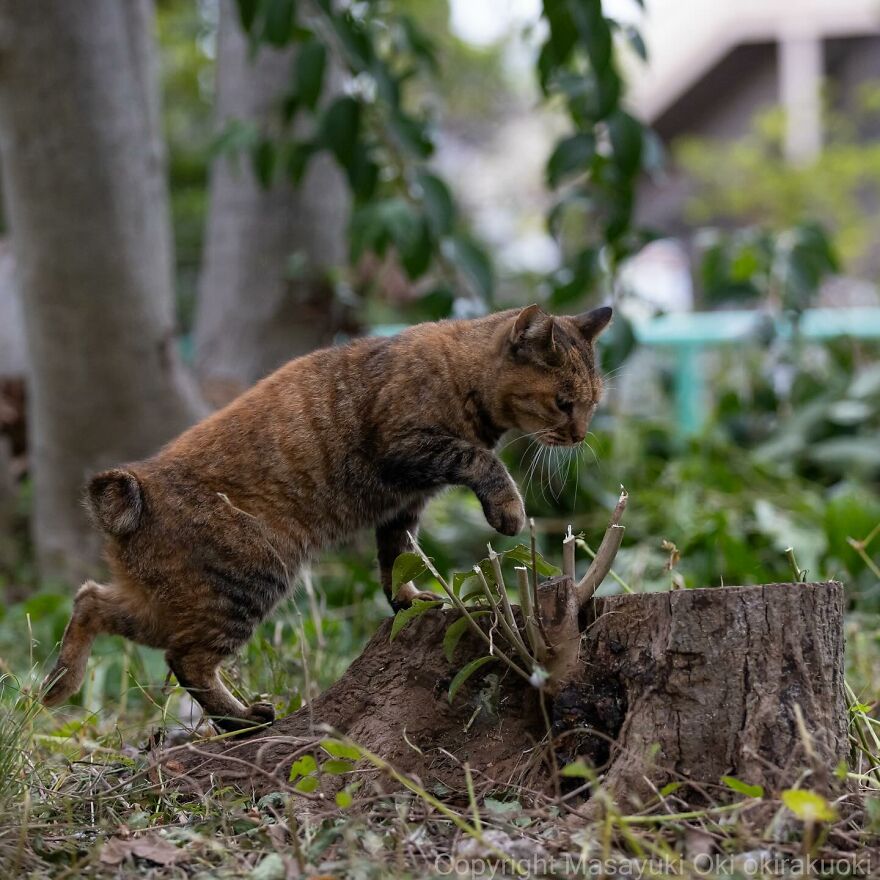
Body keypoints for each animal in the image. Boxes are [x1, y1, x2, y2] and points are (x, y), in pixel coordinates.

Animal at [41, 302, 612, 728]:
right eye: (564, 402)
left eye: (593, 402)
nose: (581, 436)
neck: (461, 372)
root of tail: (134, 489)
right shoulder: (410, 448)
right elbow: (484, 462)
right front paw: (509, 510)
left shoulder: (404, 504)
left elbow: (396, 557)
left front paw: (407, 600)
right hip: (251, 576)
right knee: (186, 659)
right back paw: (241, 719)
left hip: (169, 598)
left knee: (91, 600)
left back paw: (60, 683)